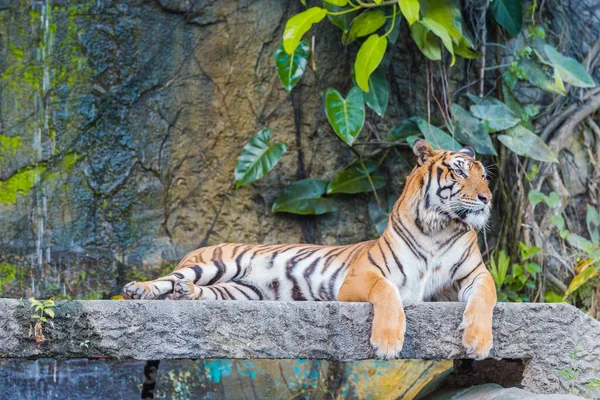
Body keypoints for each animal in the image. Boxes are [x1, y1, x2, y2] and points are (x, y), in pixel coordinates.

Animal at [123, 140, 496, 360]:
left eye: (485, 177)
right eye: (459, 172)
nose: (487, 198)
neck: (439, 227)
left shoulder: (473, 276)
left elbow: (485, 297)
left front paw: (478, 342)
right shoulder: (362, 277)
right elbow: (388, 292)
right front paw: (388, 342)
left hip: (241, 292)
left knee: (202, 291)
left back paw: (185, 293)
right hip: (216, 264)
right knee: (168, 277)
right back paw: (138, 290)